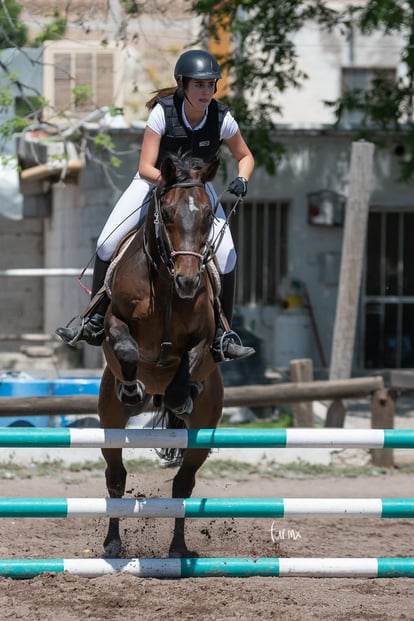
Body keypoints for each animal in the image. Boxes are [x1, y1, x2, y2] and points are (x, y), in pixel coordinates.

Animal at [98, 154, 223, 556]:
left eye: (208, 215)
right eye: (166, 213)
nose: (189, 281)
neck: (167, 286)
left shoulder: (204, 339)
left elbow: (191, 360)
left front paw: (179, 396)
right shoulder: (114, 323)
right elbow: (125, 347)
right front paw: (132, 387)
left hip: (203, 431)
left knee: (182, 485)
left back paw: (178, 550)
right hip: (110, 420)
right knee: (116, 478)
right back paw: (112, 544)